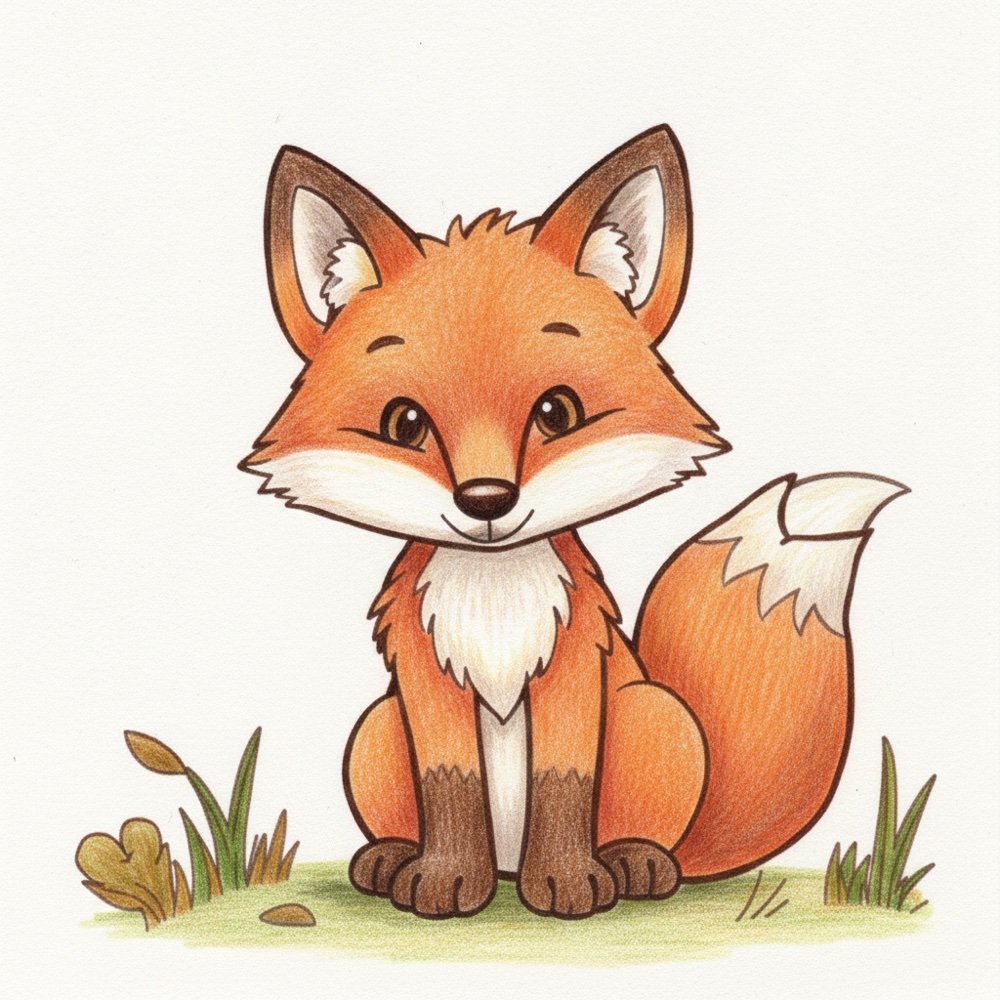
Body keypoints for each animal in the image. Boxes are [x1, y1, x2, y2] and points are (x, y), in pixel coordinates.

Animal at [241, 126, 907, 920]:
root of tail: (506, 862)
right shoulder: (426, 679)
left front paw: (565, 882)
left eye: (557, 413)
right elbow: (450, 783)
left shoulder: (575, 667)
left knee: (651, 841)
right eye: (405, 424)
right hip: (376, 729)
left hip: (654, 716)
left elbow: (564, 783)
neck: (494, 596)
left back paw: (634, 865)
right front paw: (444, 879)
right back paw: (394, 859)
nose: (486, 499)